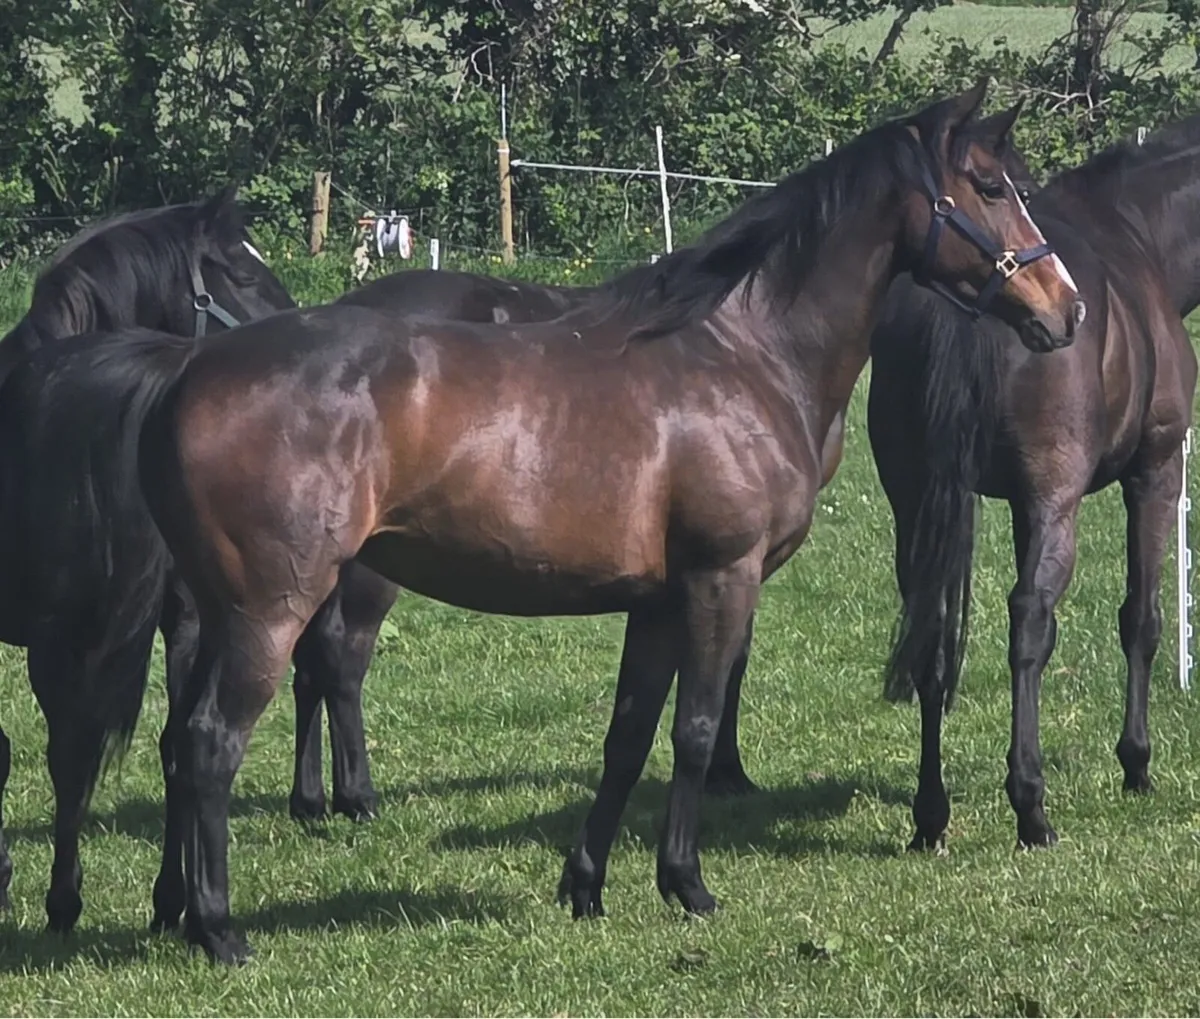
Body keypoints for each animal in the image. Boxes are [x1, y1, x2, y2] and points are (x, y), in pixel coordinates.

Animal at [38, 81, 1085, 963]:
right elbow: (695, 729)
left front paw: (586, 883)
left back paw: (178, 909)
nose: (1065, 309)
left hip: (213, 612)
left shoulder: (657, 600)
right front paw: (687, 883)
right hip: (268, 609)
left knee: (181, 743)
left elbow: (628, 735)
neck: (744, 353)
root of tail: (185, 368)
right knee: (214, 743)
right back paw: (220, 930)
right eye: (991, 186)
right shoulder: (720, 578)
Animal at [867, 114, 1200, 852]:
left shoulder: (1020, 504)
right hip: (1060, 502)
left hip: (918, 504)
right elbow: (1141, 618)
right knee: (1029, 624)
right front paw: (1136, 763)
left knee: (931, 628)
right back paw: (1031, 806)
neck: (1140, 230)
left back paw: (930, 816)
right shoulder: (1154, 473)